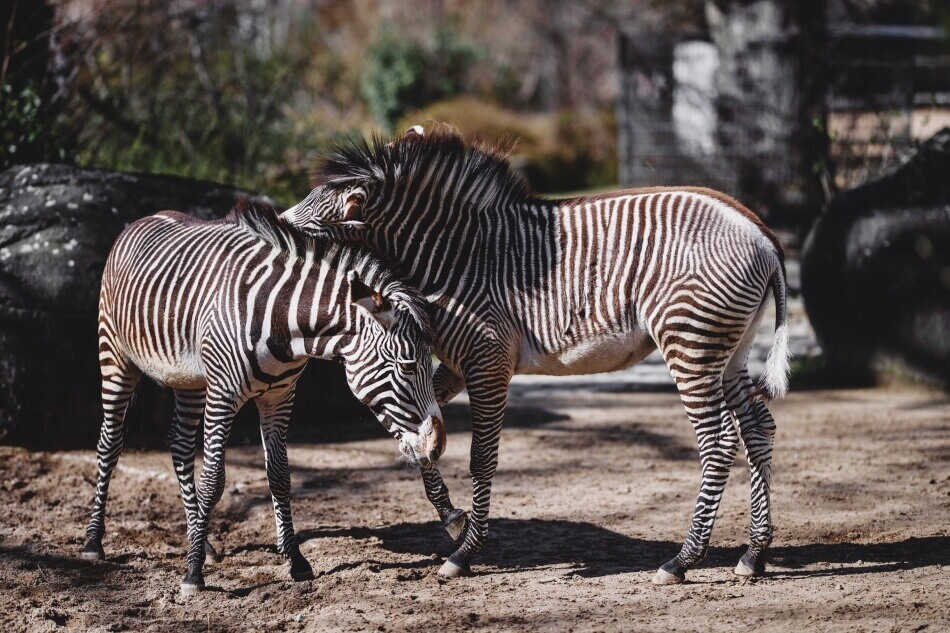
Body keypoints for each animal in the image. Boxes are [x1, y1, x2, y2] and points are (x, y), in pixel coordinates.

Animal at [82, 200, 446, 596]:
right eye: (407, 366)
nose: (437, 447)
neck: (285, 323)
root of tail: (146, 217)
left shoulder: (280, 396)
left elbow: (280, 476)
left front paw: (295, 561)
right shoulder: (223, 394)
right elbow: (214, 479)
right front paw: (192, 574)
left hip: (188, 379)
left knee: (179, 444)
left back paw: (203, 540)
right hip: (114, 355)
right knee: (109, 442)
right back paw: (94, 542)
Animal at [286, 126, 792, 584]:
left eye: (308, 232)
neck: (453, 258)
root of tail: (762, 233)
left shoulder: (488, 363)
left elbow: (481, 457)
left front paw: (464, 553)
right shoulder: (455, 366)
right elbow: (423, 435)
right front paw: (451, 517)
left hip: (691, 344)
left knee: (719, 440)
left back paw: (682, 560)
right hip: (729, 352)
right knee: (758, 428)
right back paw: (754, 555)